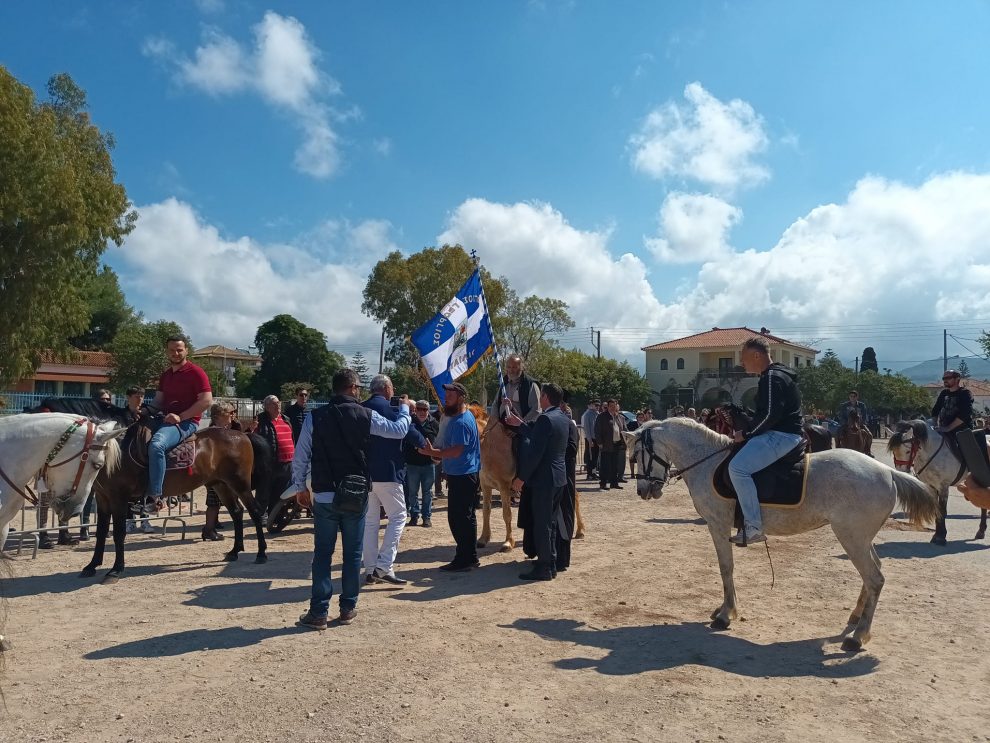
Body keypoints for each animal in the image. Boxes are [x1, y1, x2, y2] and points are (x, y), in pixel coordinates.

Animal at [74, 422, 268, 584]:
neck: (116, 456)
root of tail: (242, 434)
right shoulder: (103, 499)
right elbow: (101, 533)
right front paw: (92, 566)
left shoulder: (118, 499)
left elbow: (118, 534)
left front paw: (115, 570)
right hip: (220, 484)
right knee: (237, 512)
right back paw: (235, 551)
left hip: (240, 484)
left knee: (255, 512)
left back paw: (261, 553)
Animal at [624, 418, 940, 652]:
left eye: (637, 454)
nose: (643, 491)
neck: (706, 462)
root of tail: (886, 471)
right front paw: (723, 610)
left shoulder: (718, 526)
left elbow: (726, 568)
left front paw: (726, 615)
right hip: (860, 538)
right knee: (872, 574)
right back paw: (855, 619)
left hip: (851, 537)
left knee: (874, 578)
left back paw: (858, 636)